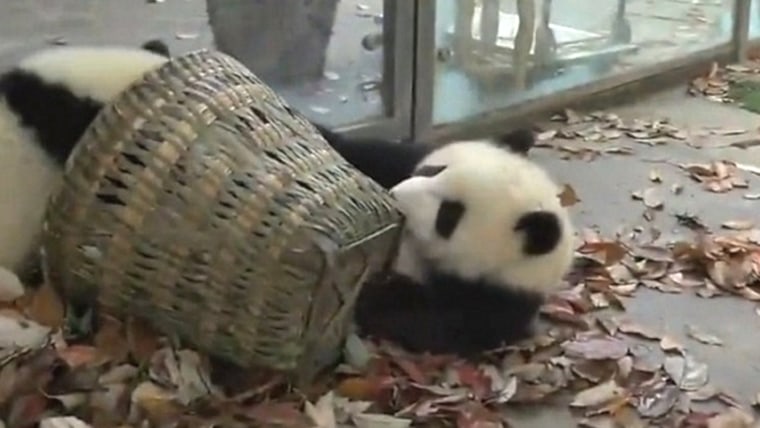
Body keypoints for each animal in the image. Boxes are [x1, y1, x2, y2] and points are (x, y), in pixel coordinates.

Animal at [354, 141, 572, 358]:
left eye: (448, 215)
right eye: (433, 170)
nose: (395, 195)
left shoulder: (499, 300)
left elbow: (442, 326)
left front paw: (371, 297)